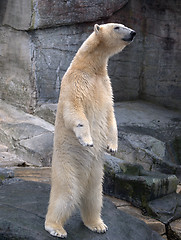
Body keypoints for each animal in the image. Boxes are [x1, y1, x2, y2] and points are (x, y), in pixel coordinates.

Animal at [45, 23, 136, 238]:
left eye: (123, 25)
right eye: (117, 26)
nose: (133, 33)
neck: (90, 68)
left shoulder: (105, 86)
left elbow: (111, 116)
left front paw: (112, 147)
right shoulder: (75, 82)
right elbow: (75, 110)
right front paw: (88, 140)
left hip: (96, 173)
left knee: (94, 197)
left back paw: (98, 225)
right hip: (67, 164)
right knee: (66, 193)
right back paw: (56, 227)